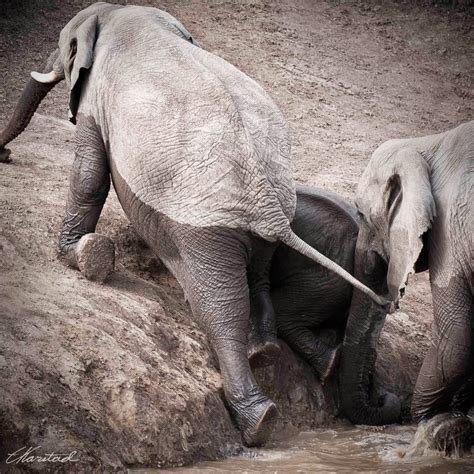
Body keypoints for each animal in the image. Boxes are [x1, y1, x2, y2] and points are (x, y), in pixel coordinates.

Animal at [0, 2, 386, 444]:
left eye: (65, 47)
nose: (5, 155)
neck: (121, 14)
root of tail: (267, 205)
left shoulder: (97, 100)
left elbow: (89, 173)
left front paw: (80, 253)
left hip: (205, 226)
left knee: (218, 306)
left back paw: (259, 420)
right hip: (262, 222)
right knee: (256, 279)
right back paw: (264, 353)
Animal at [336, 121, 474, 452]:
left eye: (361, 213)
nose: (383, 396)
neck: (425, 144)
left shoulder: (451, 232)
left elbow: (456, 339)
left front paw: (427, 423)